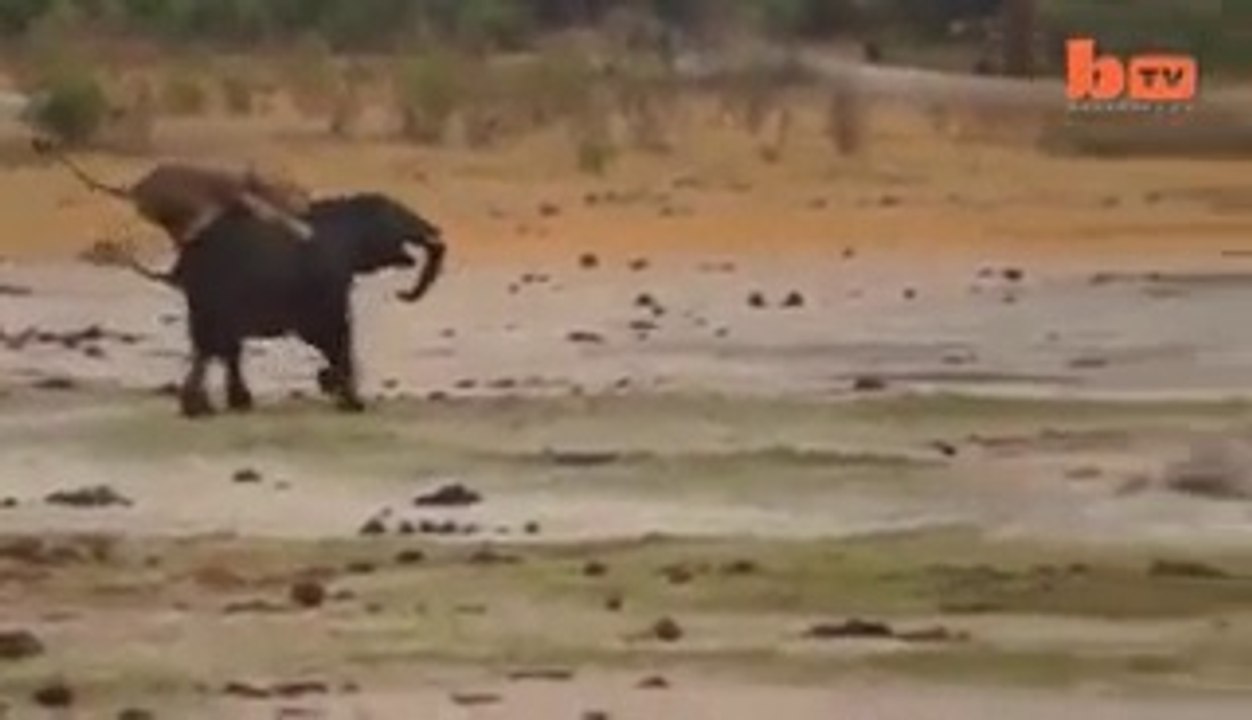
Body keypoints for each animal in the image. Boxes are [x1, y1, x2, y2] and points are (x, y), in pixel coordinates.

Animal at [126, 191, 446, 417]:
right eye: (397, 216)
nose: (402, 294)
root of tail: (184, 257)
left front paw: (333, 387)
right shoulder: (325, 284)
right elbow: (332, 333)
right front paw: (347, 398)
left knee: (218, 347)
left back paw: (222, 406)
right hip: (215, 294)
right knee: (212, 346)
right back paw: (201, 410)